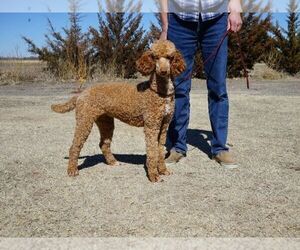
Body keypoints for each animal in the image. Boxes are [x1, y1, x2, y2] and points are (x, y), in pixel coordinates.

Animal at [52, 40, 185, 182]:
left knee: (104, 144)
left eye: (170, 57)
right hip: (85, 120)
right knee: (74, 146)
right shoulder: (151, 125)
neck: (159, 92)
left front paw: (163, 170)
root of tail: (82, 93)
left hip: (106, 122)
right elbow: (152, 151)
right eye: (155, 57)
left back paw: (112, 162)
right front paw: (153, 175)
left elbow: (160, 149)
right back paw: (72, 170)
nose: (164, 71)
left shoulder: (164, 125)